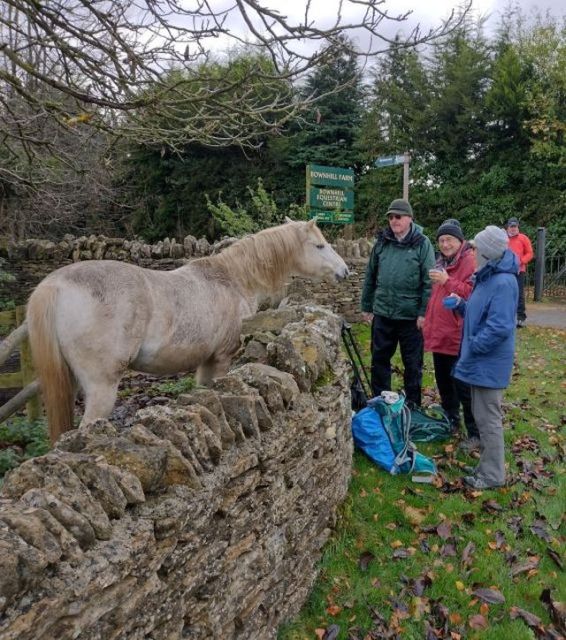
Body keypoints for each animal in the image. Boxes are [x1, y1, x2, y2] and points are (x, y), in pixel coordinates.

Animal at [26, 218, 350, 442]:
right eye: (319, 246)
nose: (344, 271)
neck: (232, 279)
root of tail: (55, 285)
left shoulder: (206, 361)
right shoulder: (222, 358)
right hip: (101, 388)